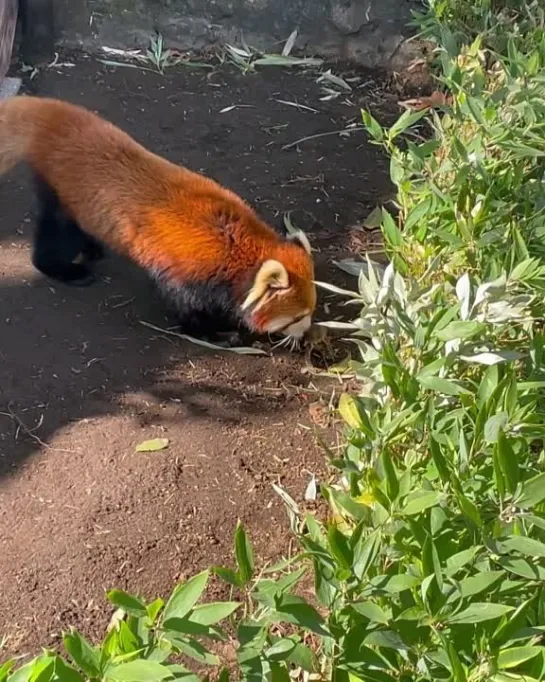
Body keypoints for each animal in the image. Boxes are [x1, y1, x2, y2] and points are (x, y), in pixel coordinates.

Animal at [0, 95, 316, 340]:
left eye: (311, 311)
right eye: (296, 317)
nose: (305, 333)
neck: (237, 246)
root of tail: (58, 118)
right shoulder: (189, 271)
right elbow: (186, 307)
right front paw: (213, 332)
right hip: (63, 191)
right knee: (58, 234)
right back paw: (63, 269)